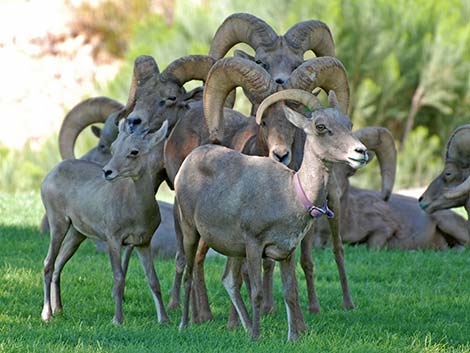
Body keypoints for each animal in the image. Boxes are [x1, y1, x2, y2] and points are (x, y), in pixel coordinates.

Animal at [40, 119, 169, 324]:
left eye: (134, 151)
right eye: (114, 147)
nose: (107, 172)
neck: (136, 210)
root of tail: (50, 175)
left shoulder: (143, 243)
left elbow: (153, 280)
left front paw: (164, 320)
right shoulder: (114, 239)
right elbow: (118, 278)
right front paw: (118, 320)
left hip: (77, 234)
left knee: (59, 264)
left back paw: (59, 310)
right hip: (58, 223)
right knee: (48, 263)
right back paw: (47, 314)